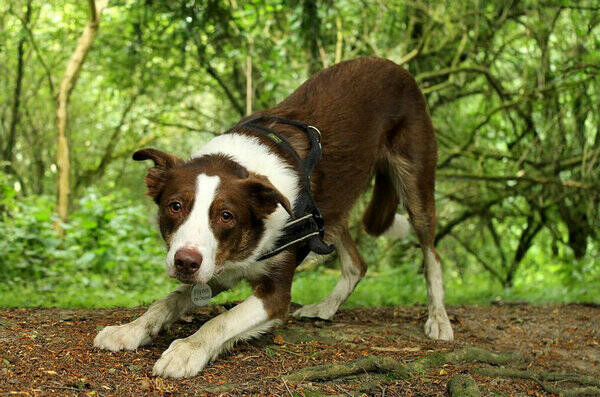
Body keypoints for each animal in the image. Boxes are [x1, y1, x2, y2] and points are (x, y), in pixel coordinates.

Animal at [94, 57, 452, 376]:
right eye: (176, 206)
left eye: (226, 215)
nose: (185, 262)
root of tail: (395, 66)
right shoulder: (219, 267)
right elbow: (167, 301)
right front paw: (131, 329)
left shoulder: (274, 295)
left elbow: (221, 320)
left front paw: (187, 350)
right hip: (329, 211)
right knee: (356, 263)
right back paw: (326, 307)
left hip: (414, 181)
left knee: (432, 253)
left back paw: (438, 319)